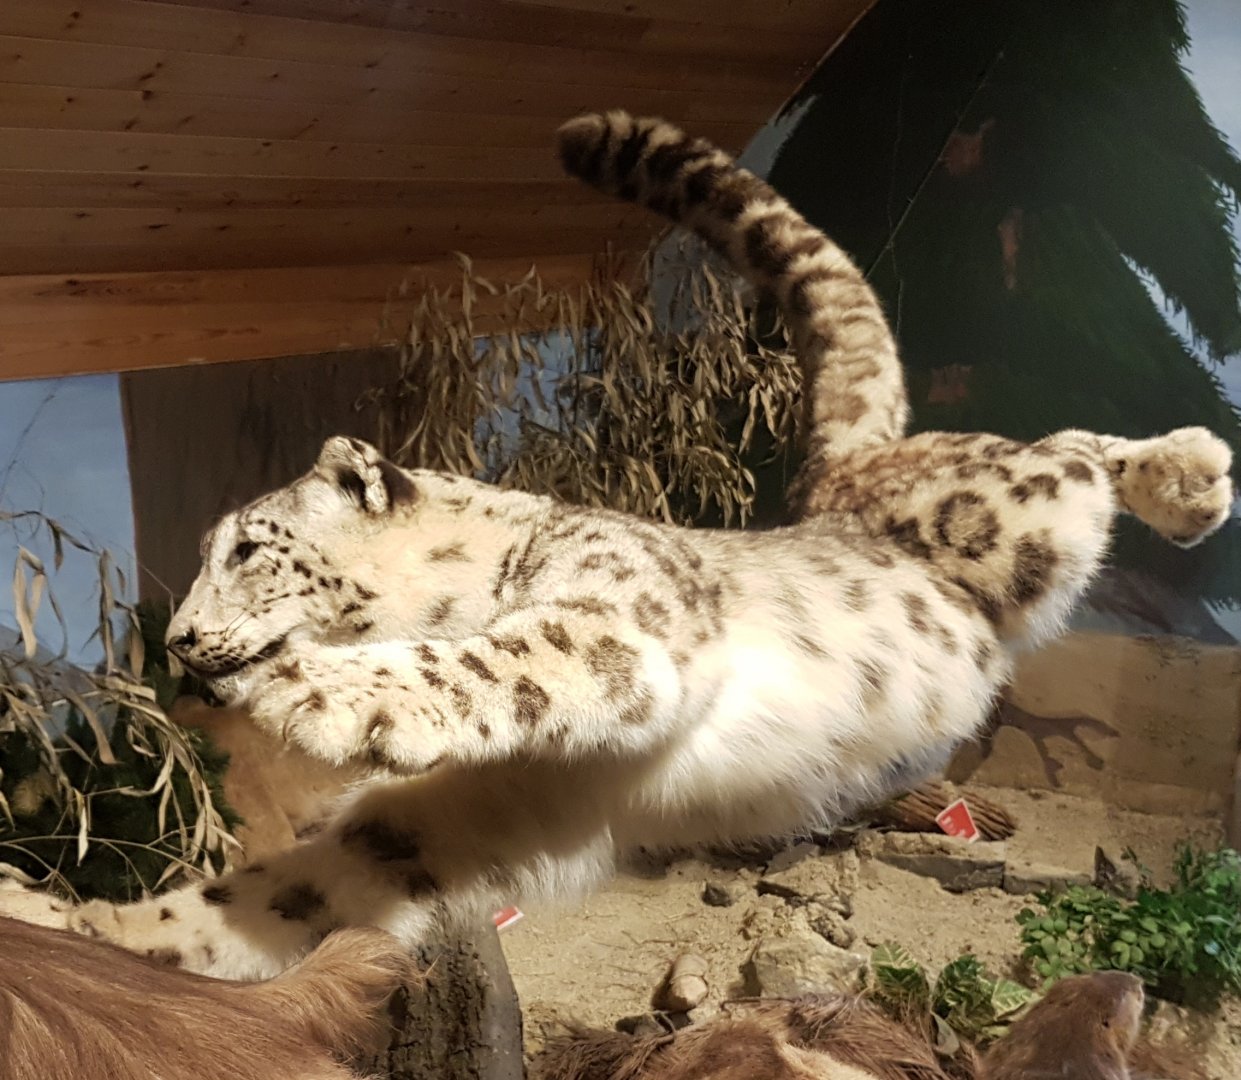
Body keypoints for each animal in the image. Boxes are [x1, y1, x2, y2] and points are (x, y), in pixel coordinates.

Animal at [6, 110, 1230, 980]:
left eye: (251, 549)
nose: (181, 639)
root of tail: (845, 471)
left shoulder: (617, 625)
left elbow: (487, 655)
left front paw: (309, 688)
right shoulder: (425, 829)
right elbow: (250, 906)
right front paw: (55, 917)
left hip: (1010, 515)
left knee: (1069, 445)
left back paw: (1188, 475)